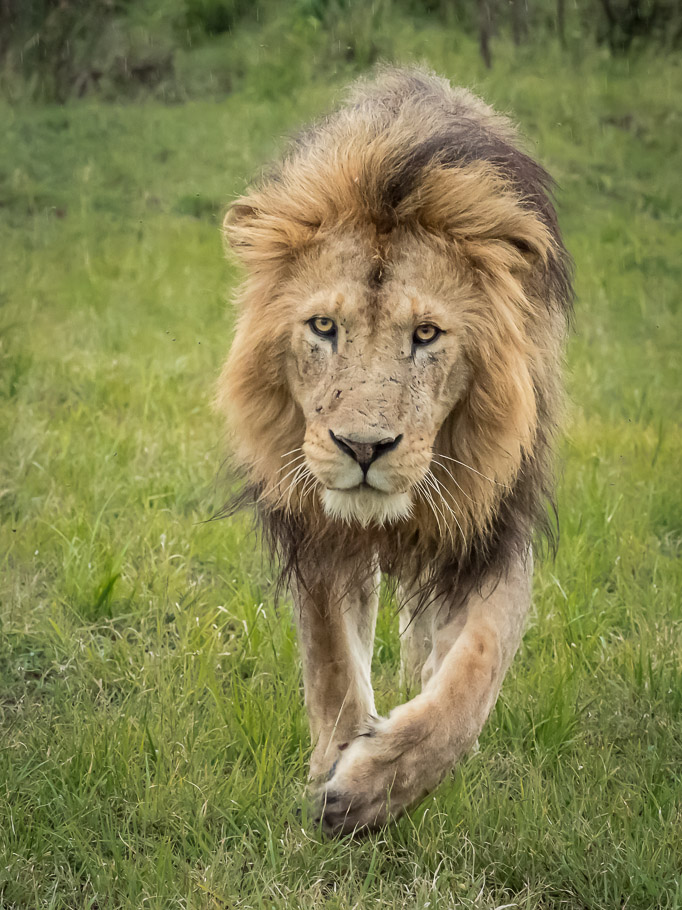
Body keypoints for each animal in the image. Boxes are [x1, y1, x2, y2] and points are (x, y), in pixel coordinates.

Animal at [217, 66, 572, 834]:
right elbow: (331, 661)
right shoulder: (317, 527)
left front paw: (373, 787)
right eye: (323, 327)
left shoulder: (492, 527)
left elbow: (471, 677)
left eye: (427, 335)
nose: (363, 447)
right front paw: (336, 764)